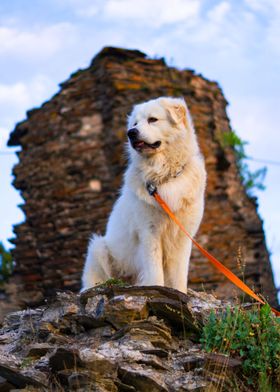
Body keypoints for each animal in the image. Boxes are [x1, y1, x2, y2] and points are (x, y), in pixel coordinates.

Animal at [81, 96, 206, 292]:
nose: (131, 133)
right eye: (134, 123)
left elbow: (179, 275)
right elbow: (155, 271)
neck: (163, 175)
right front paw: (157, 290)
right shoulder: (149, 232)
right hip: (98, 247)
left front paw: (180, 293)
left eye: (152, 119)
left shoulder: (183, 236)